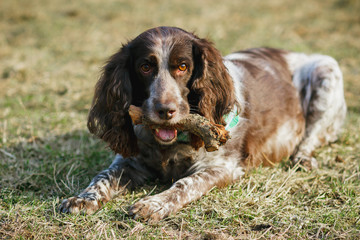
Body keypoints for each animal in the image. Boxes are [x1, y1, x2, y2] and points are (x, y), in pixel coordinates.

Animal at [58, 26, 346, 221]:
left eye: (183, 66)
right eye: (145, 67)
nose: (165, 110)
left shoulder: (222, 167)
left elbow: (184, 184)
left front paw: (153, 204)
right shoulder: (130, 162)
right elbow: (101, 177)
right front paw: (81, 198)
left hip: (327, 69)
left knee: (313, 136)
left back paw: (303, 158)